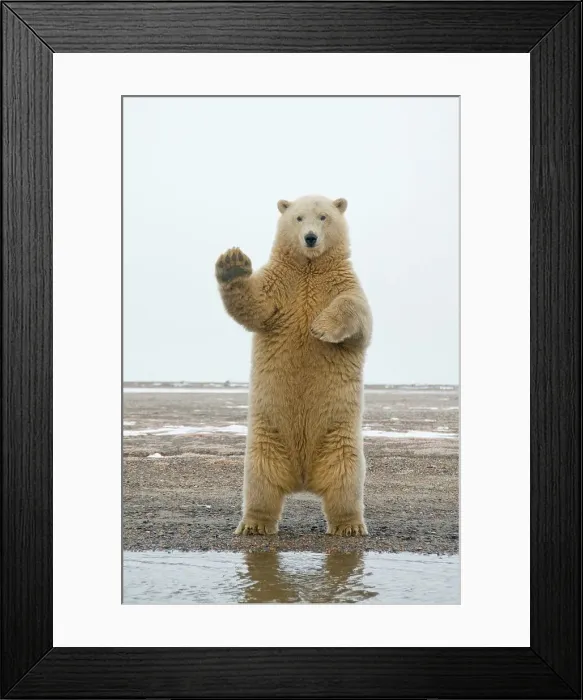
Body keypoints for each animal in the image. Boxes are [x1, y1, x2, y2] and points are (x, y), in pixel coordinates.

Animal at [215, 195, 372, 536]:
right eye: (298, 218)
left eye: (324, 217)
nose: (310, 238)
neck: (309, 269)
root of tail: (303, 478)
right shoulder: (280, 284)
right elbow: (255, 304)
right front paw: (233, 263)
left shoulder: (343, 283)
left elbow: (357, 314)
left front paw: (321, 328)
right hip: (266, 436)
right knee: (260, 479)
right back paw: (254, 524)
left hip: (339, 437)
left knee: (345, 478)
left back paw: (350, 525)